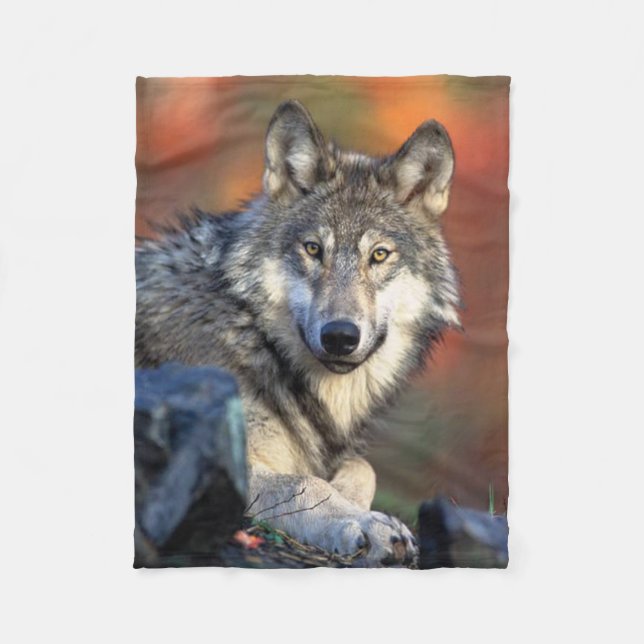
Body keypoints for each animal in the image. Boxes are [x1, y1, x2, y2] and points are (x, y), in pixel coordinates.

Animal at [135, 100, 460, 566]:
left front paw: (354, 504)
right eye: (313, 249)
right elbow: (304, 483)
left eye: (379, 255)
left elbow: (362, 467)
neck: (253, 336)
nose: (340, 336)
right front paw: (364, 523)